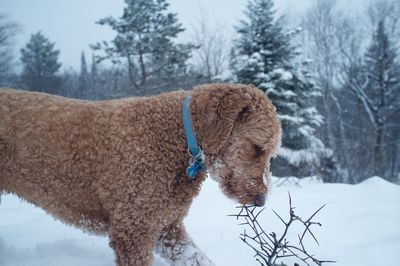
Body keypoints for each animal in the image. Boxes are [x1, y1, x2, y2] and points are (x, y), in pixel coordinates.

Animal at [0, 84, 282, 264]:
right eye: (257, 147)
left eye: (271, 154)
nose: (261, 200)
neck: (179, 137)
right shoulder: (134, 229)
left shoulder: (166, 228)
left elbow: (197, 259)